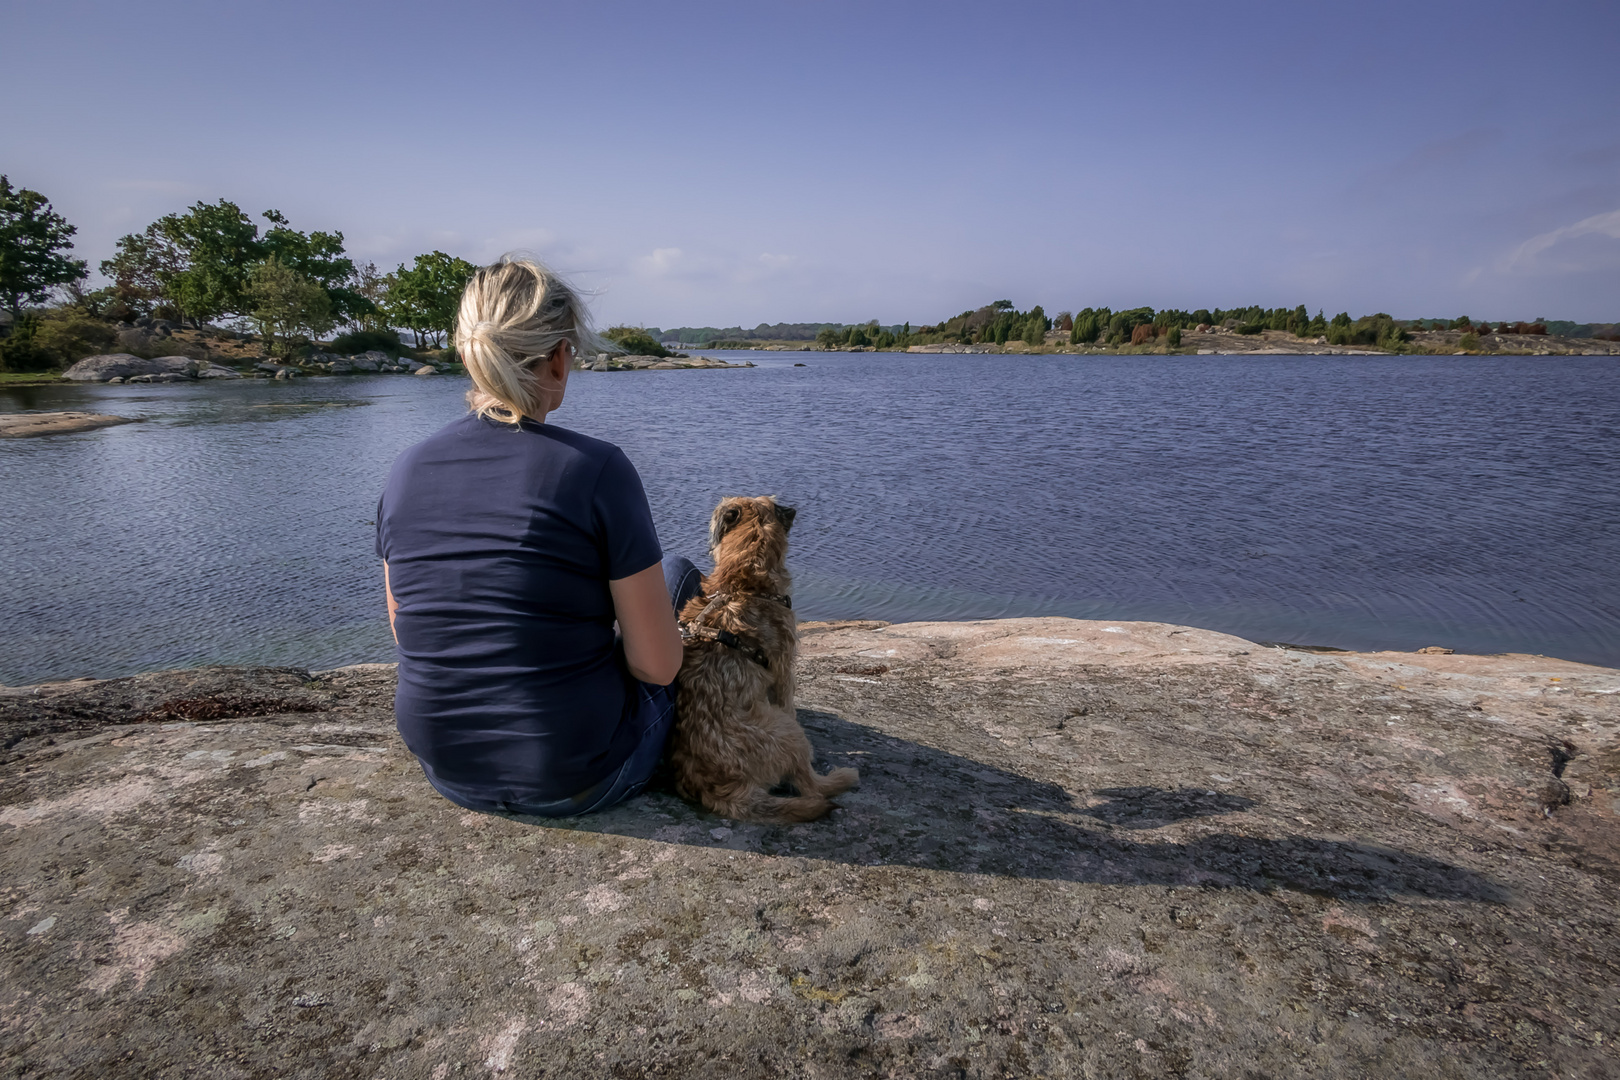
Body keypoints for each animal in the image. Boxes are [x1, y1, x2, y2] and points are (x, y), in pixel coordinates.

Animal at [667, 495, 861, 822]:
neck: (743, 581)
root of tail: (726, 792)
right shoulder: (784, 672)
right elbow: (789, 702)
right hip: (787, 731)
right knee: (810, 786)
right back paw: (840, 777)